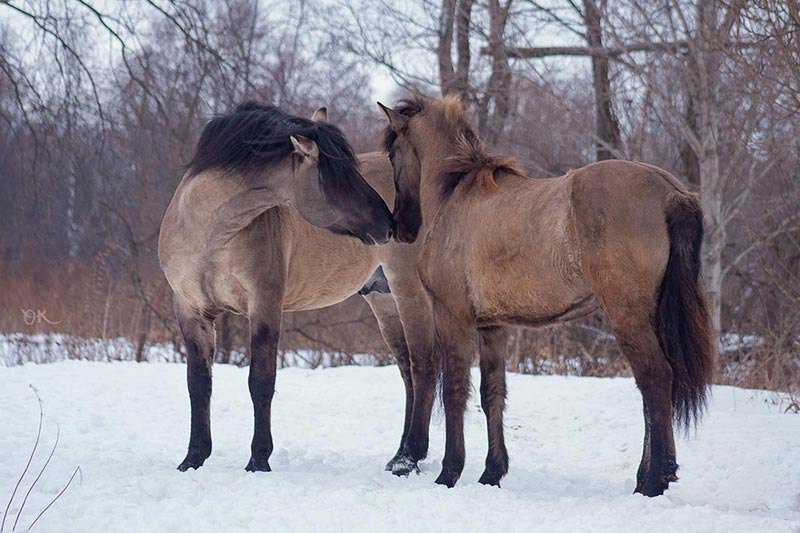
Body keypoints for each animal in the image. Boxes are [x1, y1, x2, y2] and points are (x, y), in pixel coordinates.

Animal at [157, 102, 440, 472]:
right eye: (339, 177)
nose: (388, 224)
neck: (210, 234)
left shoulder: (264, 305)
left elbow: (261, 382)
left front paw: (258, 460)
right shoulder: (191, 311)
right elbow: (198, 384)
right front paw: (193, 458)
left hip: (409, 292)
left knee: (423, 368)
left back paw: (411, 458)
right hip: (384, 300)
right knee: (408, 373)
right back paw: (399, 456)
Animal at [378, 94, 716, 494]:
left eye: (393, 154)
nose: (401, 226)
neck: (456, 196)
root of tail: (671, 191)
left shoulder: (452, 316)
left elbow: (455, 392)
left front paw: (449, 473)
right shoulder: (492, 326)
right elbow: (492, 394)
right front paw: (492, 473)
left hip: (627, 315)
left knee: (656, 378)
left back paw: (654, 480)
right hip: (651, 314)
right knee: (654, 388)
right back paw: (646, 477)